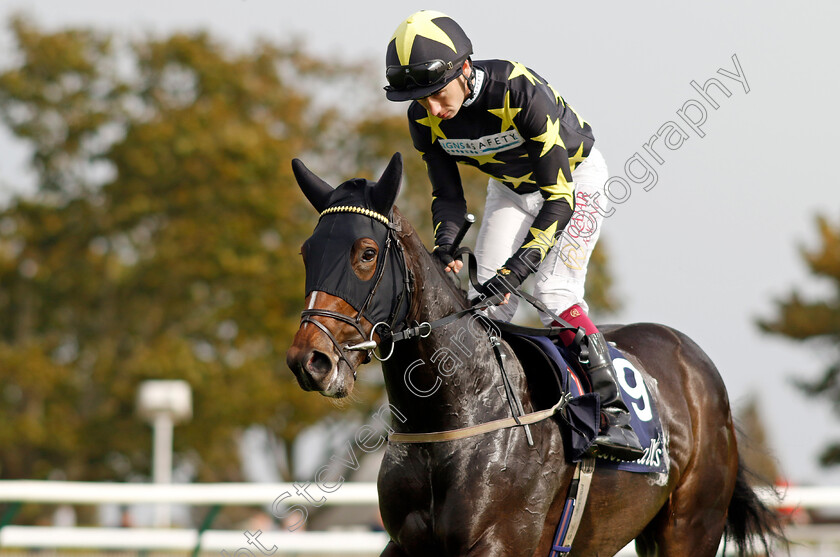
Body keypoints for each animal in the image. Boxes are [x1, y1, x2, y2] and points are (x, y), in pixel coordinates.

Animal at [286, 153, 784, 556]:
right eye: (307, 252)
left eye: (367, 253)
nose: (309, 361)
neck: (454, 412)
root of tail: (693, 359)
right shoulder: (405, 544)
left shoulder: (498, 543)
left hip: (690, 525)